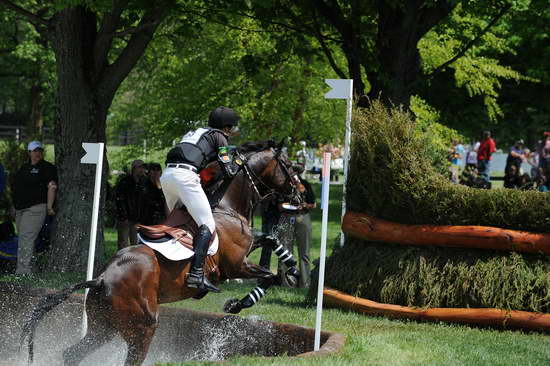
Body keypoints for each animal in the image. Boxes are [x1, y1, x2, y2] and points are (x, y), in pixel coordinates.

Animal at [21, 139, 304, 364]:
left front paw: (292, 268)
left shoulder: (247, 250)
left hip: (104, 328)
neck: (227, 207)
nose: (301, 197)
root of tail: (101, 279)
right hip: (142, 327)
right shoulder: (236, 265)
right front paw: (237, 303)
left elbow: (270, 239)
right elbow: (269, 276)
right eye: (289, 166)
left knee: (72, 354)